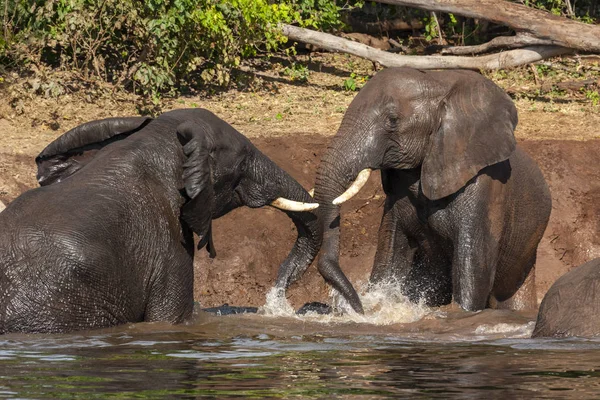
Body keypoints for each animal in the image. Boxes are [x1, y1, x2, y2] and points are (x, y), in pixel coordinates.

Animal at [308, 67, 552, 314]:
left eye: (392, 120)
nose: (358, 308)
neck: (438, 82)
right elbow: (389, 259)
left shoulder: (486, 192)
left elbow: (474, 278)